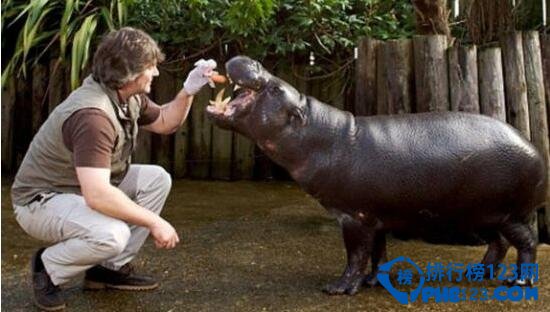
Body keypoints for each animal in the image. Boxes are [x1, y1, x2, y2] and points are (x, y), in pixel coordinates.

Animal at [206, 55, 548, 294]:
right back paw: (476, 274)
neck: (320, 134)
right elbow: (377, 254)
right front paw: (375, 282)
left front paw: (338, 289)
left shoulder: (354, 216)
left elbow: (356, 255)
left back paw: (519, 283)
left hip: (508, 214)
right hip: (479, 215)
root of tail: (533, 147)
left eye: (276, 87)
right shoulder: (377, 215)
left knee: (527, 242)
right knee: (499, 244)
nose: (252, 61)